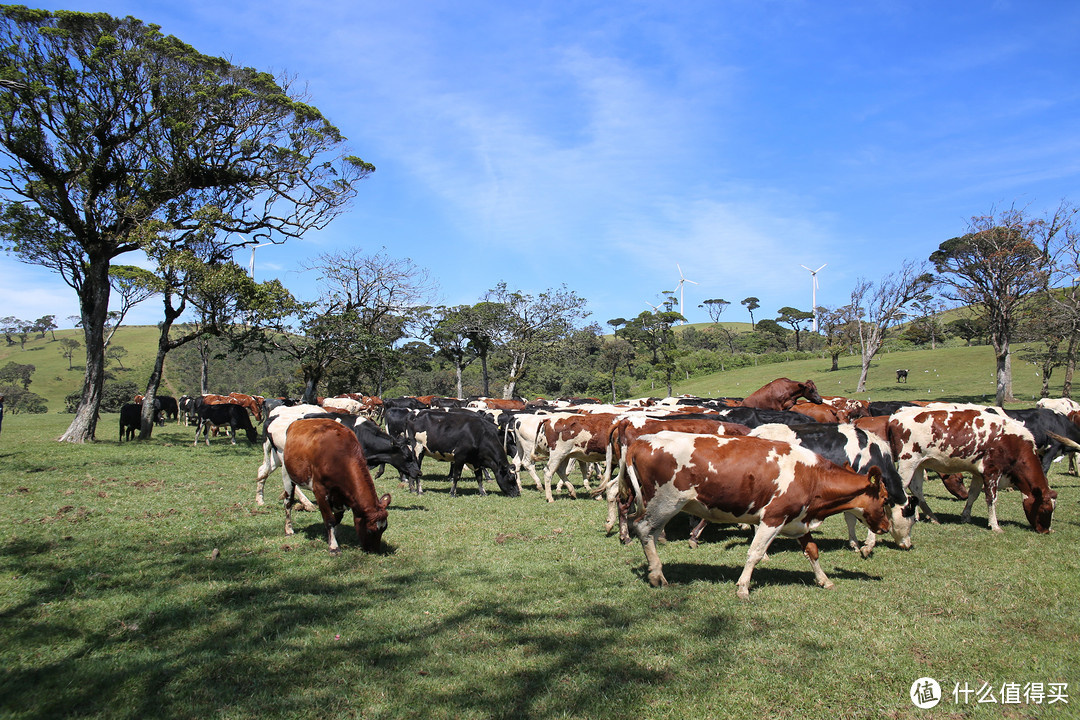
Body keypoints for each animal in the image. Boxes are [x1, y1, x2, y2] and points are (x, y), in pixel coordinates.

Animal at [282, 418, 393, 557]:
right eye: (370, 531)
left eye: (384, 529)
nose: (375, 551)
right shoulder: (320, 491)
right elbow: (329, 520)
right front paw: (334, 547)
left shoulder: (341, 496)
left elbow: (337, 519)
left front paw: (332, 537)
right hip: (287, 474)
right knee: (288, 502)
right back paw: (289, 529)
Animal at [622, 431, 889, 600]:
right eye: (885, 499)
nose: (886, 527)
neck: (812, 476)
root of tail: (643, 440)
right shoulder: (773, 518)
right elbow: (755, 553)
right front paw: (743, 587)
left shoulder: (798, 520)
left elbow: (812, 551)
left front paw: (824, 580)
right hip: (665, 502)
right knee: (643, 528)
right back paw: (657, 575)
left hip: (660, 506)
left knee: (650, 534)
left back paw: (655, 569)